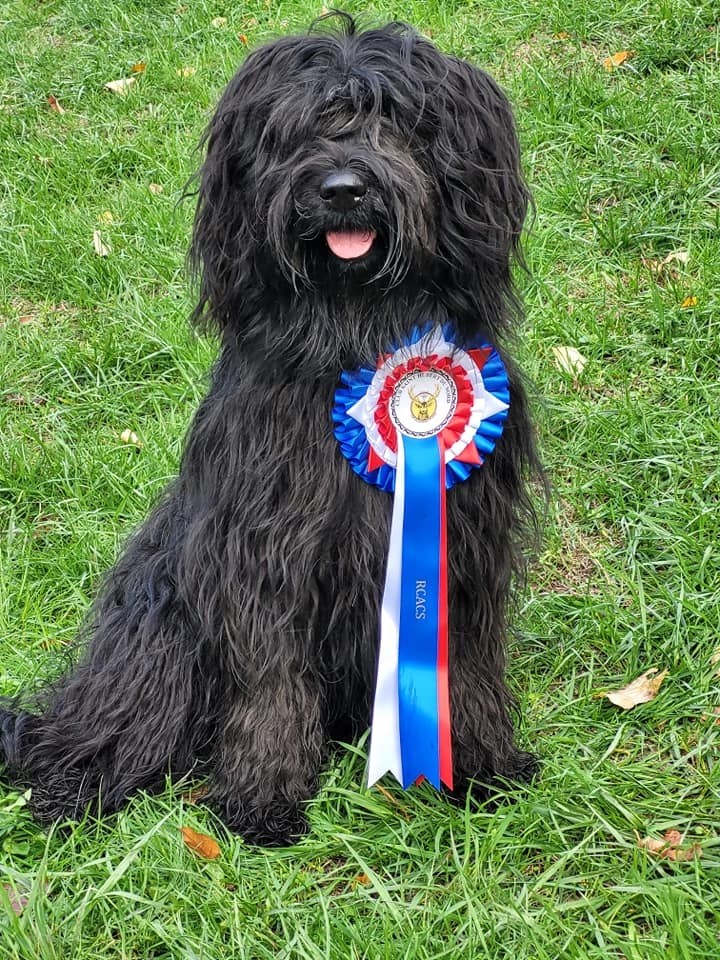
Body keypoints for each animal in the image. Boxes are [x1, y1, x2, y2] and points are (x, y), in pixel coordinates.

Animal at [0, 13, 540, 840]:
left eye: (393, 119)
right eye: (297, 132)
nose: (342, 189)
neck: (353, 326)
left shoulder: (466, 536)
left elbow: (468, 657)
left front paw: (480, 766)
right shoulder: (262, 546)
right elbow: (269, 675)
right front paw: (262, 800)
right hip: (159, 619)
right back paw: (76, 783)